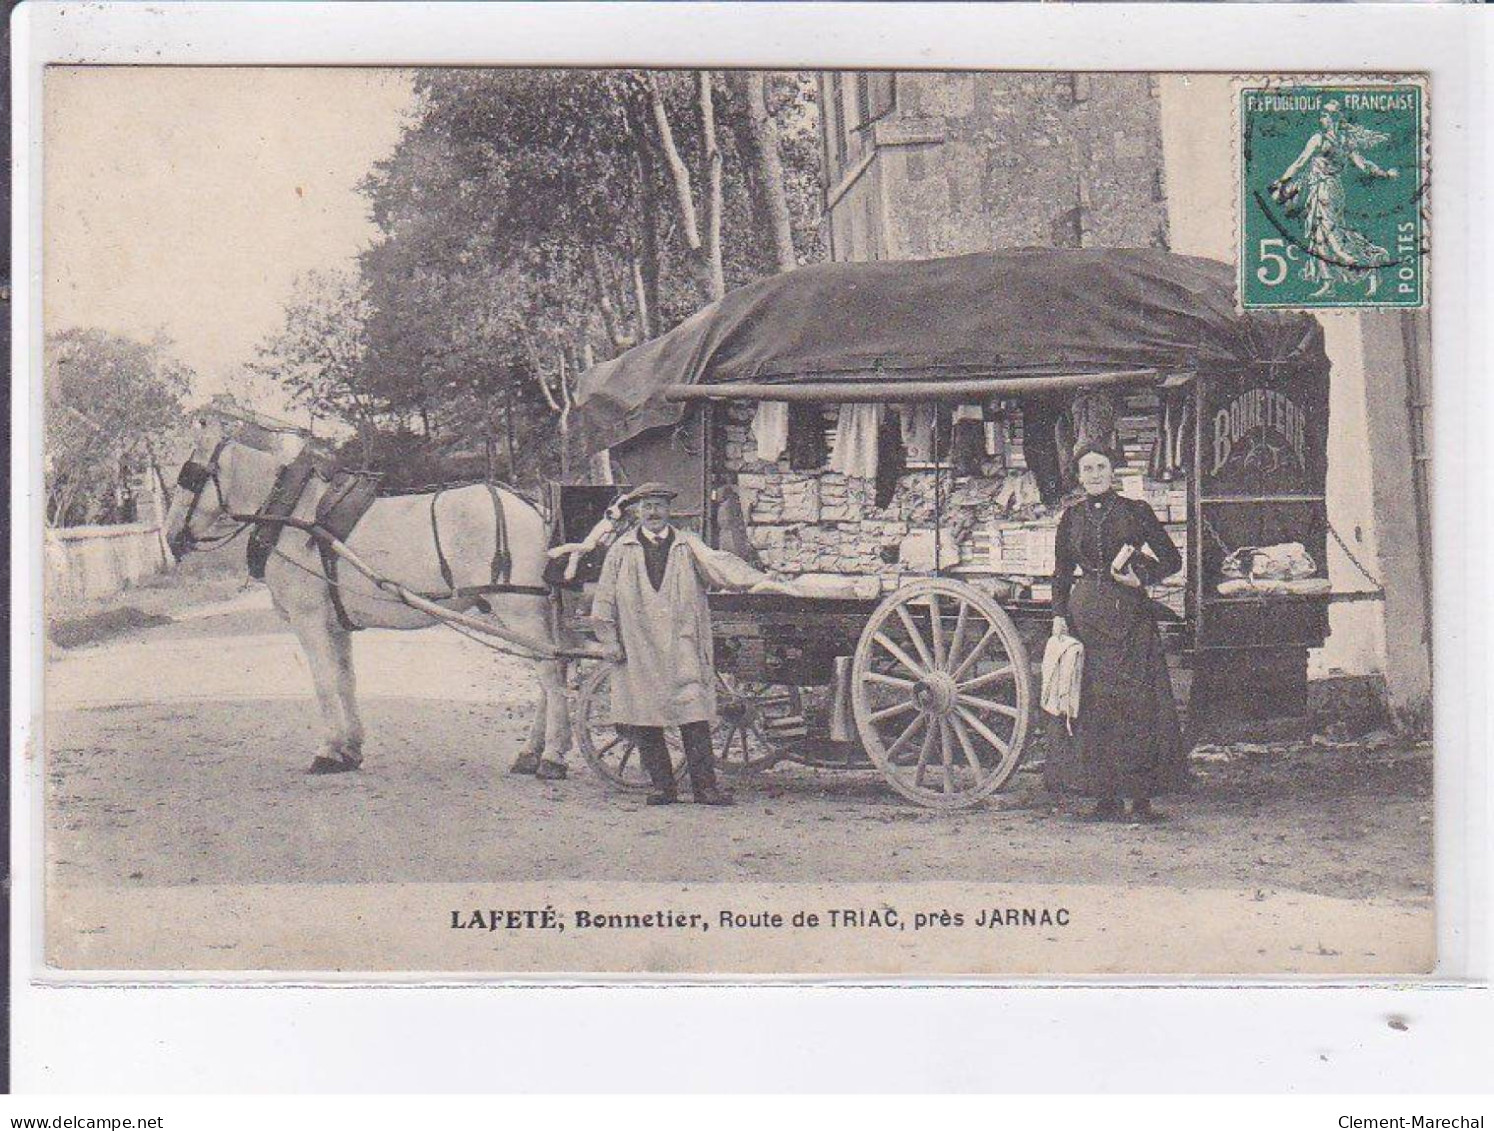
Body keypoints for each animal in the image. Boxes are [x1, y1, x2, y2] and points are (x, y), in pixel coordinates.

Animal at [162, 415, 570, 776]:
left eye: (188, 476)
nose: (168, 537)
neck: (293, 516)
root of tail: (536, 508)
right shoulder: (336, 624)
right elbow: (345, 681)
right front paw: (350, 749)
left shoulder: (308, 620)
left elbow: (324, 683)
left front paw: (327, 751)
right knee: (546, 674)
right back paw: (530, 753)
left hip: (519, 610)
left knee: (550, 673)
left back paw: (552, 756)